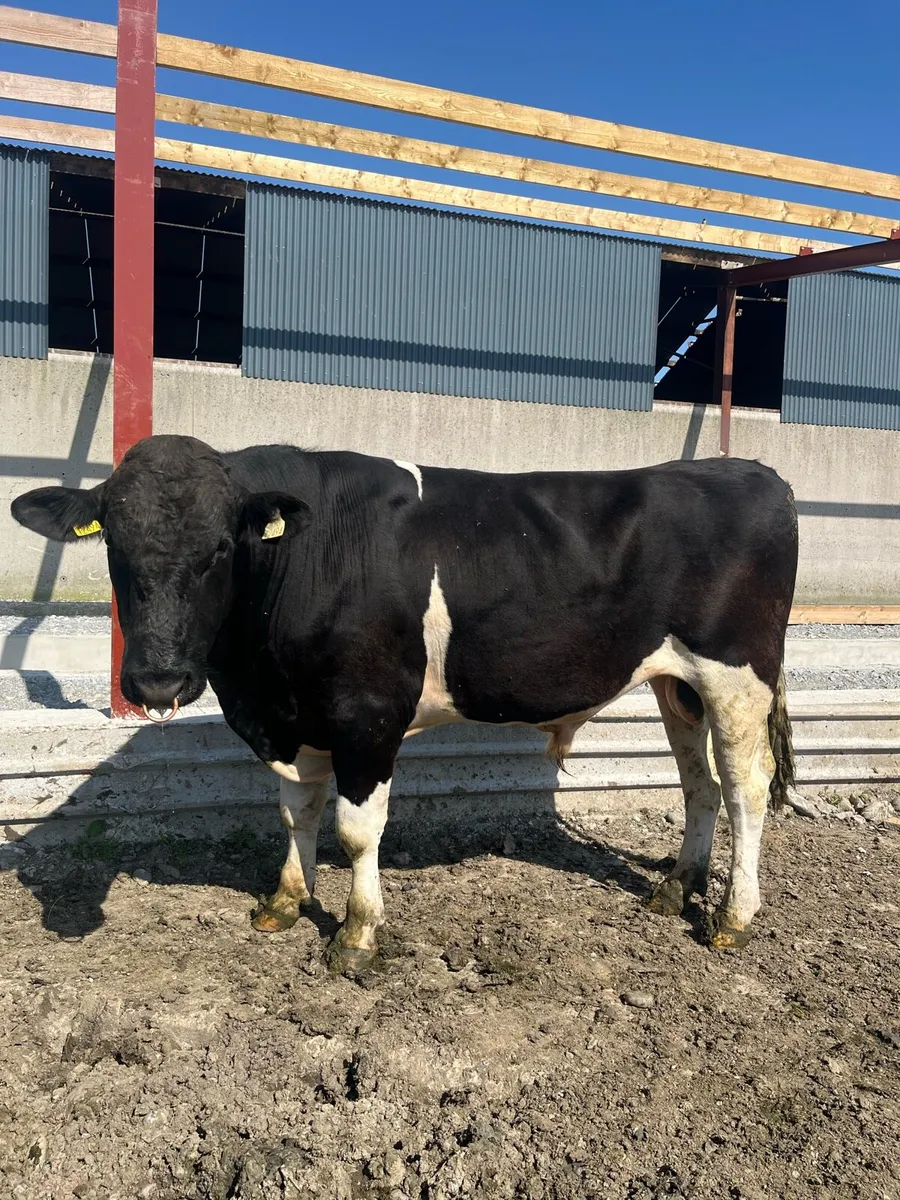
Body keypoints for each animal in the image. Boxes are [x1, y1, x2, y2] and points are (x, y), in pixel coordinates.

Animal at [12, 435, 798, 971]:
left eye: (218, 550)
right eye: (113, 544)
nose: (157, 683)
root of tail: (747, 470)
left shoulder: (367, 715)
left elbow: (358, 831)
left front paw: (357, 935)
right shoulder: (295, 720)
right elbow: (296, 813)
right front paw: (285, 902)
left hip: (737, 675)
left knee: (745, 789)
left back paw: (733, 916)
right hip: (676, 682)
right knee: (699, 785)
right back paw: (674, 889)